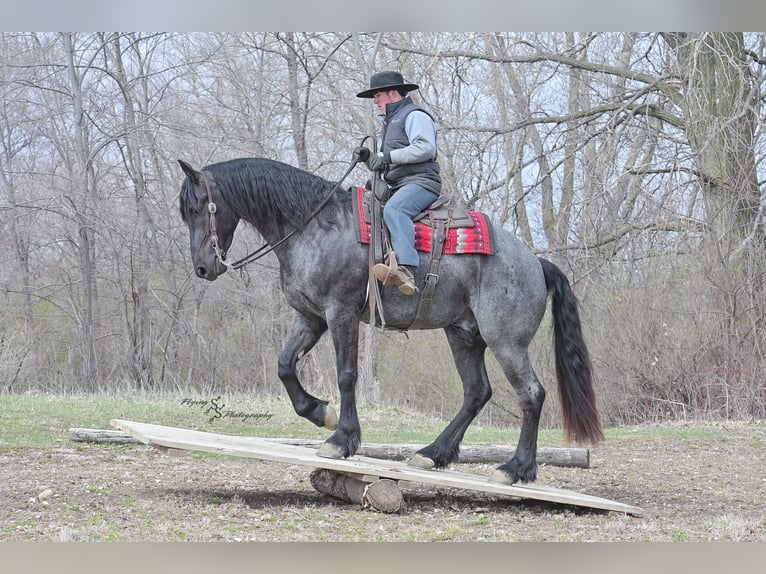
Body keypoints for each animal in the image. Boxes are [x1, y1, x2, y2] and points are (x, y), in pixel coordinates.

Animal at [177, 156, 603, 485]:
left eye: (199, 208)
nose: (202, 267)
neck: (316, 226)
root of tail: (536, 262)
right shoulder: (311, 318)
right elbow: (284, 365)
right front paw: (318, 413)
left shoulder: (340, 314)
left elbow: (346, 374)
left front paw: (341, 440)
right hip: (463, 335)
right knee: (476, 392)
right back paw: (433, 453)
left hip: (506, 341)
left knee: (531, 394)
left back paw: (515, 468)